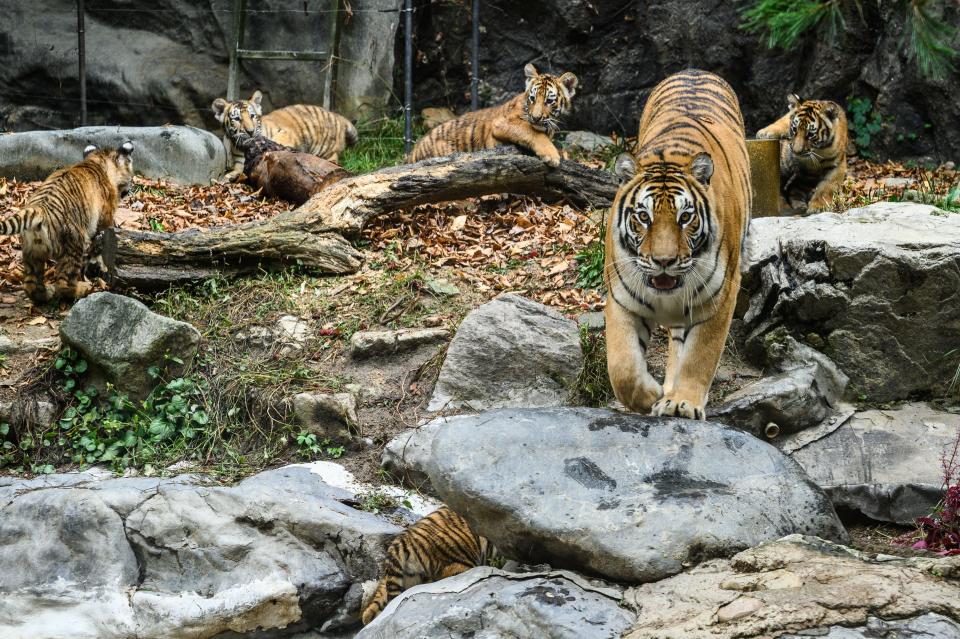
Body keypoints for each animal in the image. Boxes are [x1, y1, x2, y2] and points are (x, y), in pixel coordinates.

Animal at [0, 144, 134, 304]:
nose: (130, 189)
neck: (98, 160)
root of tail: (40, 209)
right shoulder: (104, 220)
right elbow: (100, 246)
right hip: (74, 245)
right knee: (64, 284)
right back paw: (83, 289)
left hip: (32, 252)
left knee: (30, 284)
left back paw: (47, 293)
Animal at [212, 90, 358, 181]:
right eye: (237, 119)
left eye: (252, 116)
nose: (250, 131)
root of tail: (337, 116)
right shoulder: (239, 161)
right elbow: (237, 169)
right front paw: (228, 177)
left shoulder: (285, 132)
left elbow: (277, 141)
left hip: (326, 149)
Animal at [406, 63, 576, 165]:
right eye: (532, 98)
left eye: (549, 101)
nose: (535, 118)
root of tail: (412, 153)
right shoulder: (501, 123)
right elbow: (532, 131)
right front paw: (552, 155)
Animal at [608, 70, 752, 422]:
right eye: (643, 217)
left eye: (685, 217)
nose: (663, 260)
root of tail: (694, 70)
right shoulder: (622, 299)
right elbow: (622, 368)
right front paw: (651, 396)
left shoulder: (720, 298)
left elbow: (700, 355)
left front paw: (682, 402)